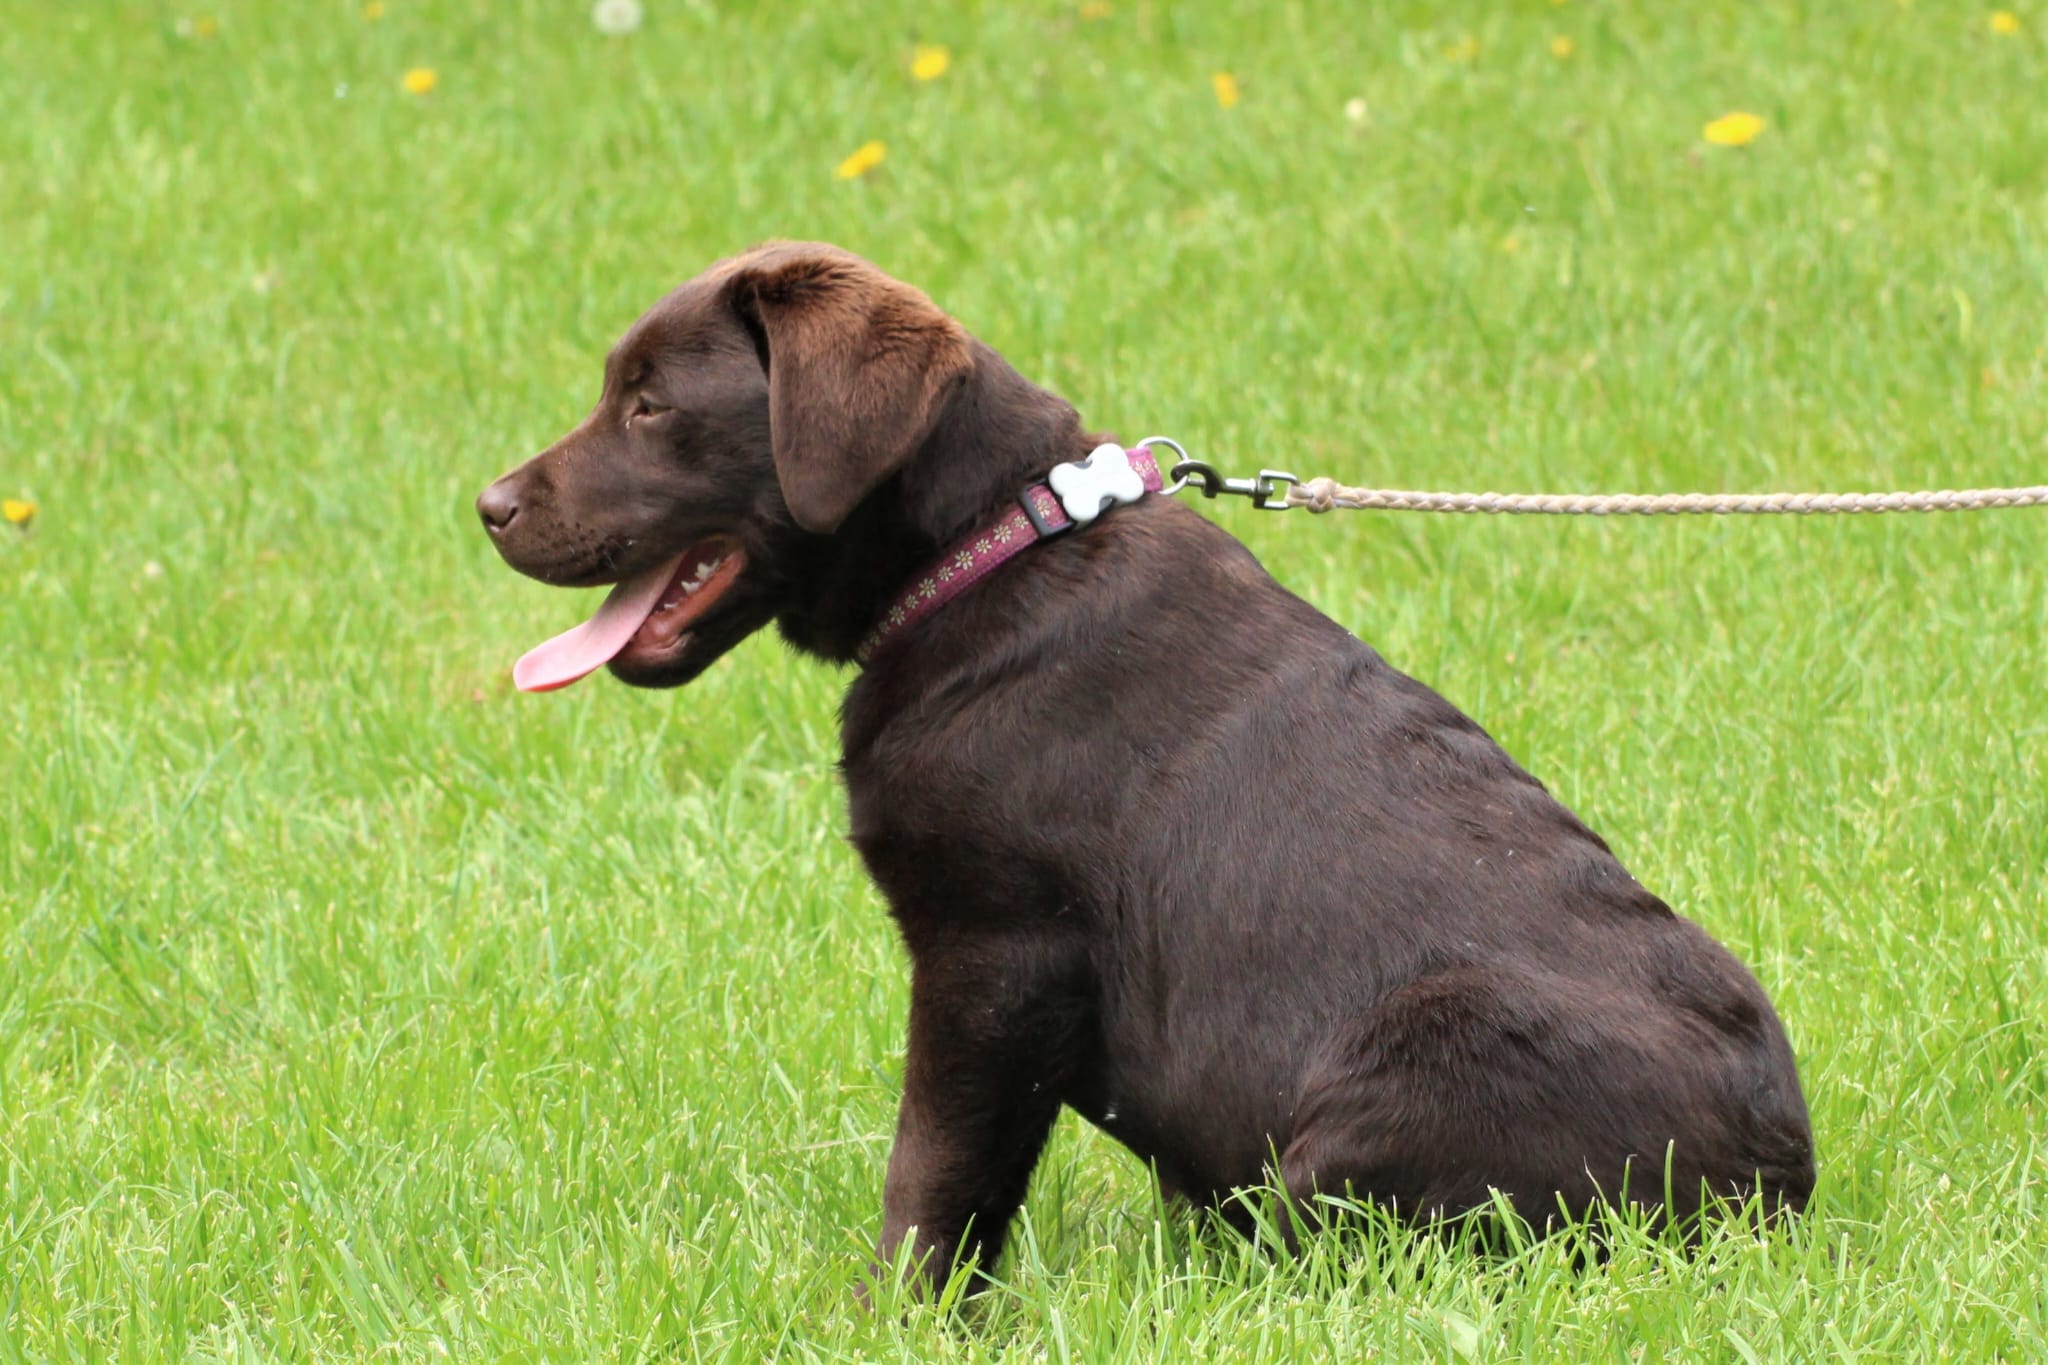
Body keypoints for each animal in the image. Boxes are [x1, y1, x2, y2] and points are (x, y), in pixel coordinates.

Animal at [475, 242, 1810, 1293]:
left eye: (650, 407)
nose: (488, 506)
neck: (985, 552)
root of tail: (1773, 1201)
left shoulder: (993, 959)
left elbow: (934, 1171)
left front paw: (892, 1314)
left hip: (1422, 1053)